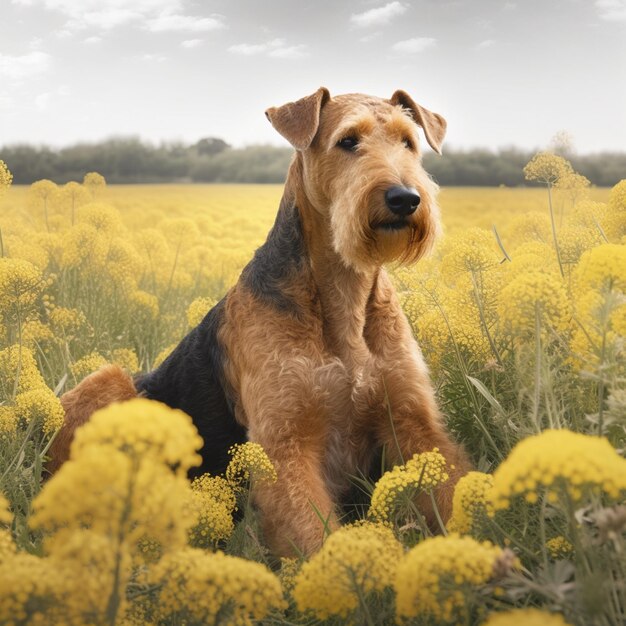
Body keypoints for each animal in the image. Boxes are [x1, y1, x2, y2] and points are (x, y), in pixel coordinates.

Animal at [50, 89, 468, 556]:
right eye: (348, 141)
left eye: (408, 142)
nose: (405, 198)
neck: (344, 298)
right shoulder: (284, 444)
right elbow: (313, 537)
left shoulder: (415, 422)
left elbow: (455, 490)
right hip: (108, 382)